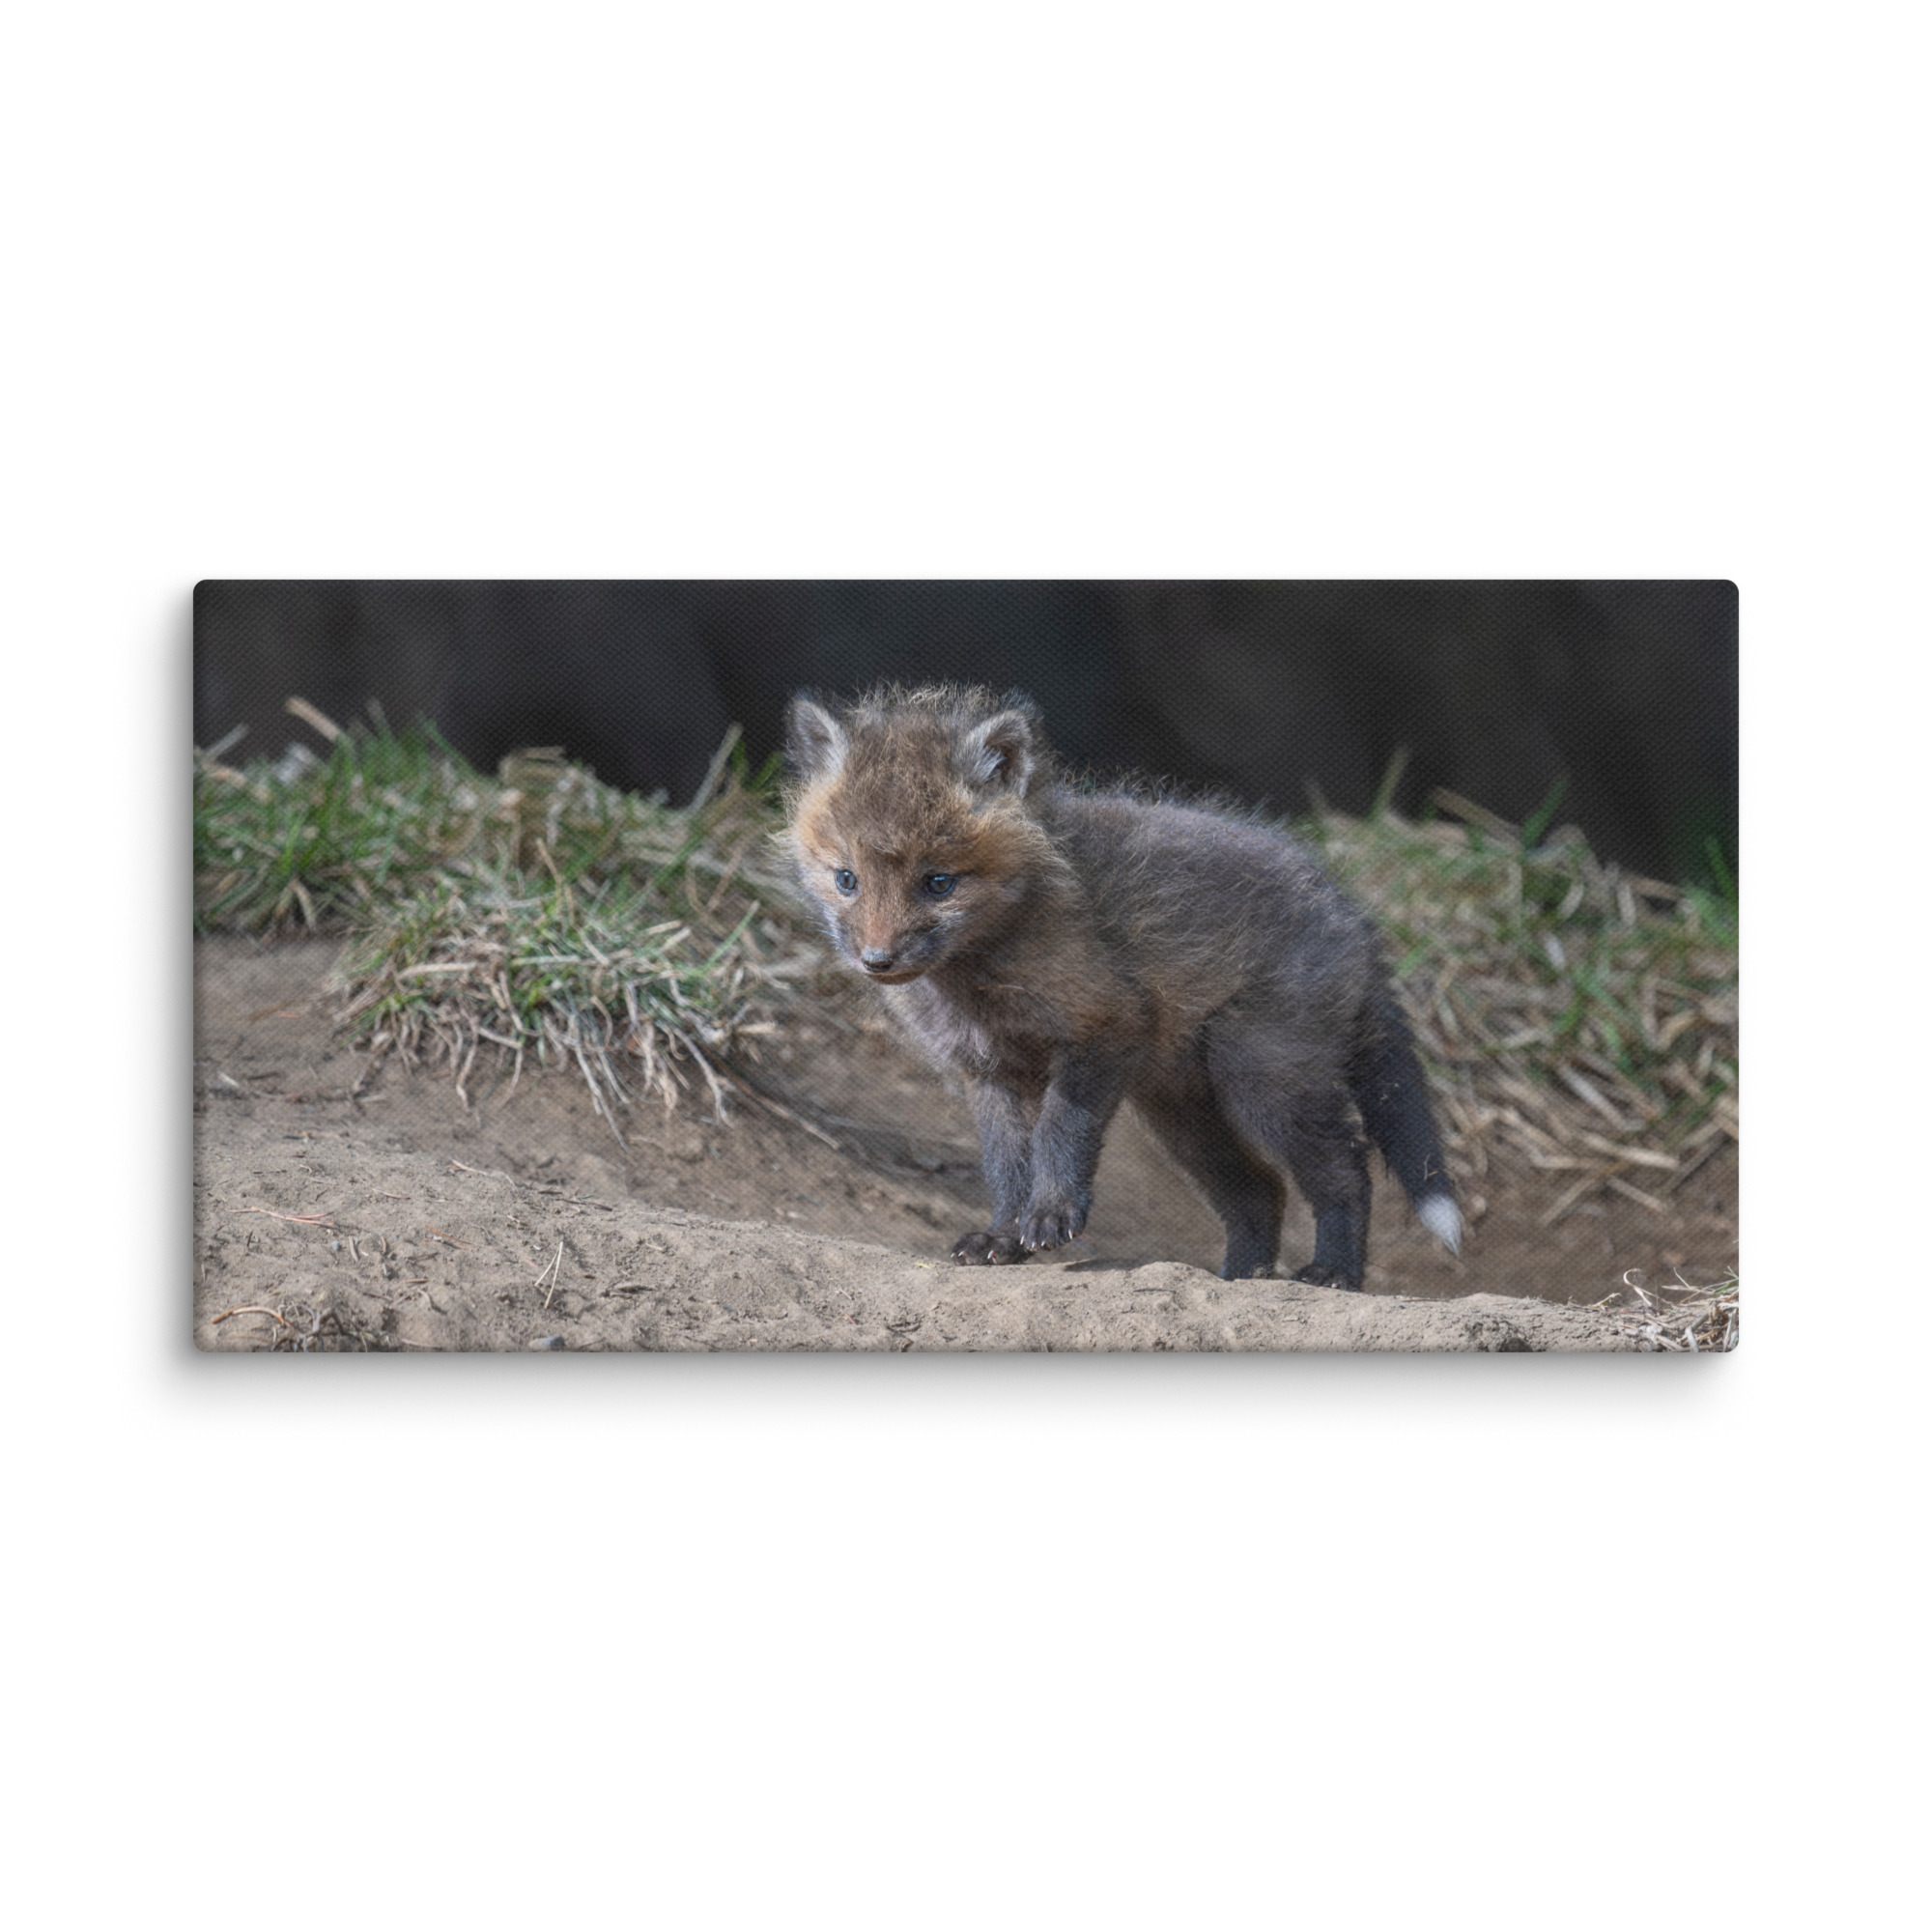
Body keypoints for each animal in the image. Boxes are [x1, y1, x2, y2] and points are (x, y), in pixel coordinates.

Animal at [782, 684, 1462, 1289]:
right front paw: (1002, 1237)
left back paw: (1333, 1272)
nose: (877, 960)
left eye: (938, 883)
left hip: (1262, 1078)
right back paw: (1240, 1278)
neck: (979, 982)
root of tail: (1351, 915)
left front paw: (1051, 1215)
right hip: (1181, 1112)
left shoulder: (1103, 1026)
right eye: (846, 879)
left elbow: (1060, 1133)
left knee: (1346, 1169)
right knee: (1260, 1190)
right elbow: (1006, 1165)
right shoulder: (988, 1070)